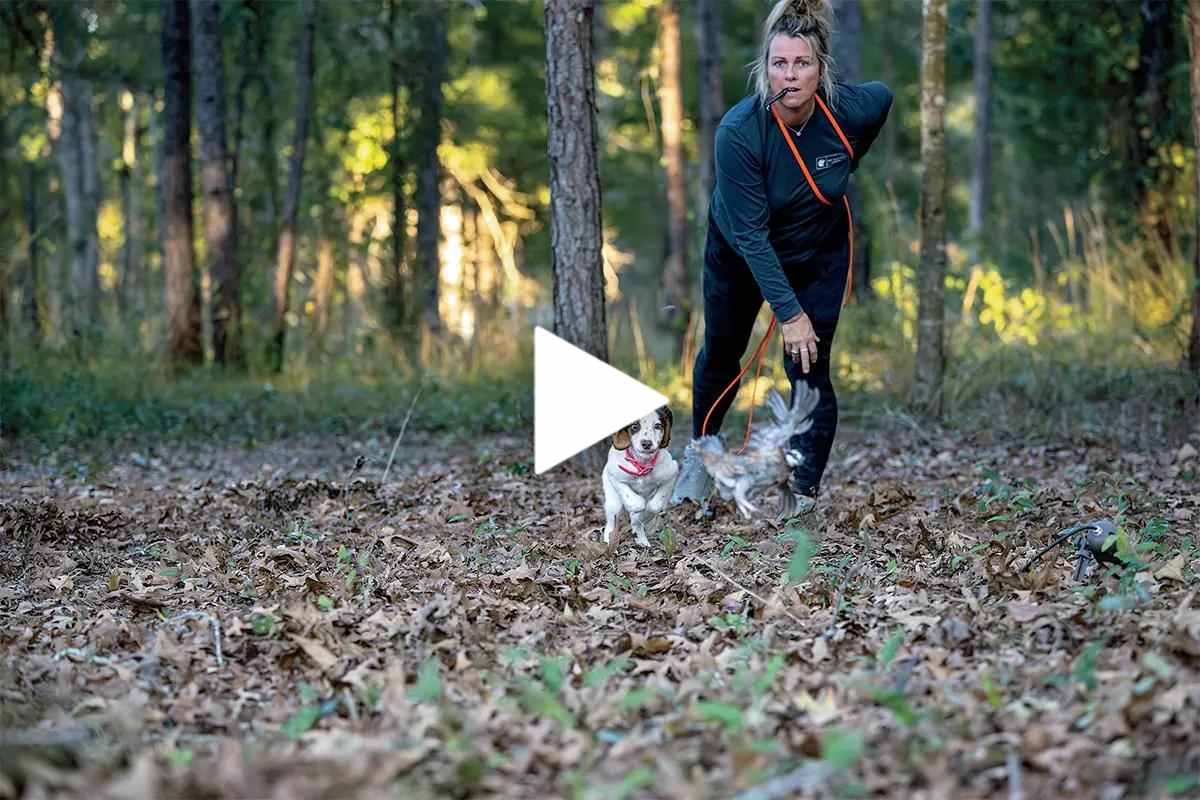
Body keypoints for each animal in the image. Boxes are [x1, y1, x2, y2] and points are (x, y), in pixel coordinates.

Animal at [602, 407, 679, 547]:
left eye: (658, 426)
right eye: (634, 426)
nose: (646, 443)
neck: (642, 464)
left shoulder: (672, 473)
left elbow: (654, 506)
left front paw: (642, 517)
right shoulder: (614, 475)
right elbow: (636, 503)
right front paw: (636, 507)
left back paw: (641, 539)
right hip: (612, 500)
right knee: (611, 520)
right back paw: (609, 540)